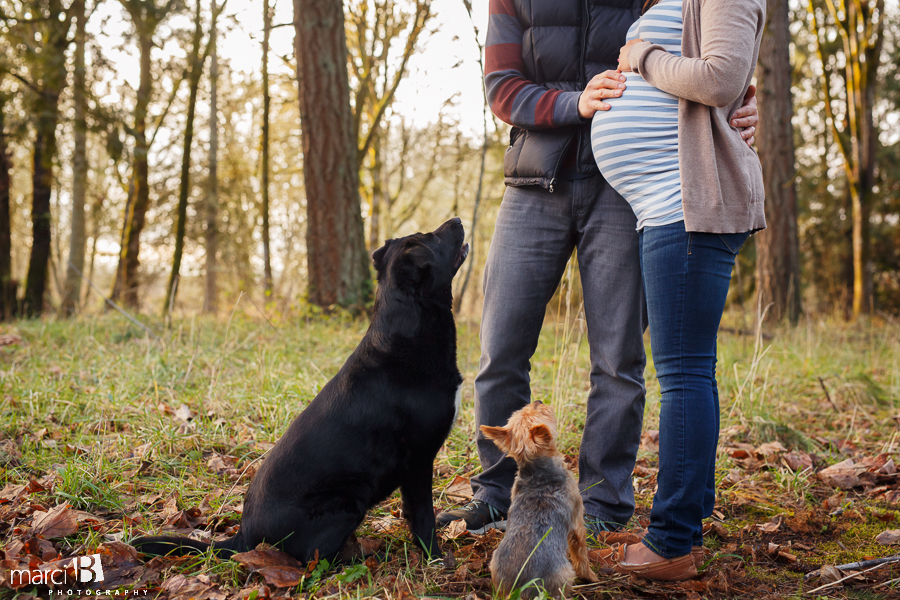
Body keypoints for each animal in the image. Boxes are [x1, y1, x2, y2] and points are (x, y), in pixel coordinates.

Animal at [135, 218, 472, 560]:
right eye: (432, 238)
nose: (457, 220)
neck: (410, 326)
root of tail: (244, 537)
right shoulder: (418, 460)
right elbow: (423, 516)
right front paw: (436, 558)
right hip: (347, 501)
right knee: (316, 556)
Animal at [482, 400, 600, 596]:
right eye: (541, 411)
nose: (538, 401)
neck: (537, 473)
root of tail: (521, 586)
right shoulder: (577, 522)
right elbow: (581, 554)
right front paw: (591, 576)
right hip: (564, 574)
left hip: (494, 563)